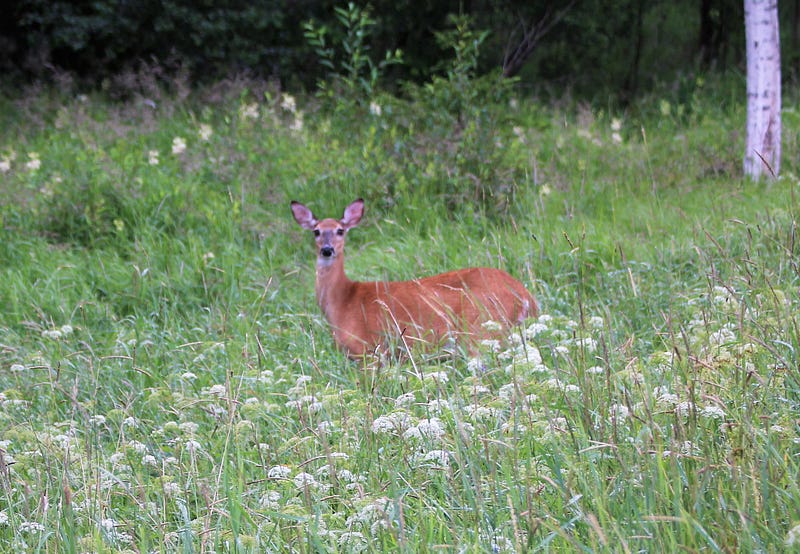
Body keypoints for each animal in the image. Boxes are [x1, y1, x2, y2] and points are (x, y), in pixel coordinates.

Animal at [290, 198, 536, 358]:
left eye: (340, 230)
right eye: (316, 231)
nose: (327, 250)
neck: (343, 300)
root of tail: (526, 297)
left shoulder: (368, 349)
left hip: (480, 328)